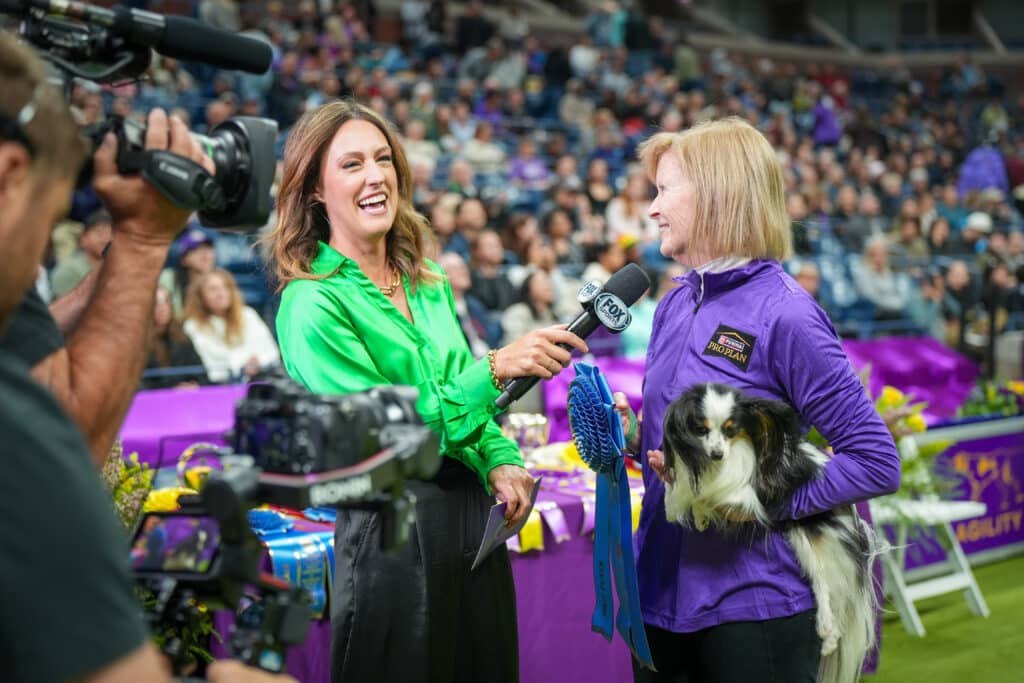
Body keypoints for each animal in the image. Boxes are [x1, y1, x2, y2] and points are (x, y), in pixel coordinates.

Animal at [663, 385, 880, 683]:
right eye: (700, 429)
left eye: (731, 430)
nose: (717, 454)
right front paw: (692, 513)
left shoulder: (748, 494)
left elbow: (705, 494)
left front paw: (683, 505)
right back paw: (828, 636)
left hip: (812, 538)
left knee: (826, 586)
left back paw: (827, 633)